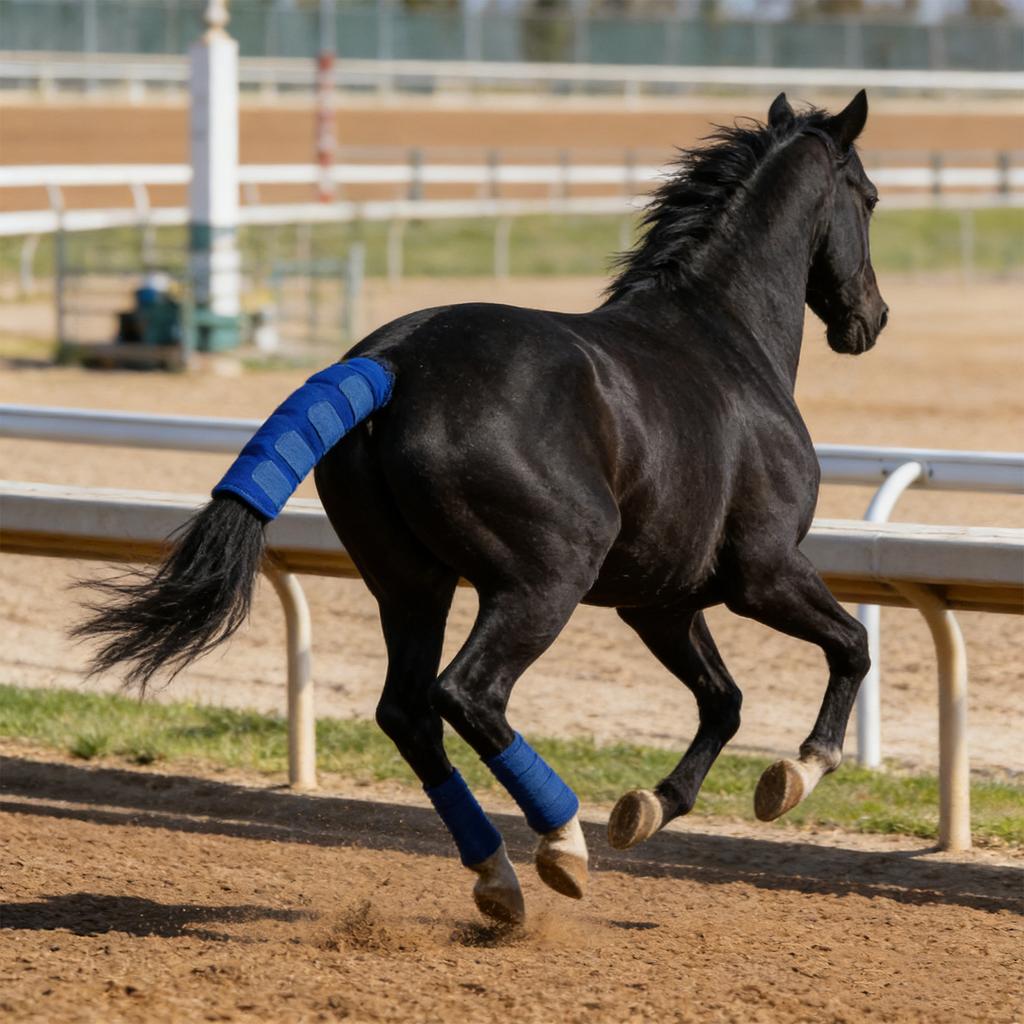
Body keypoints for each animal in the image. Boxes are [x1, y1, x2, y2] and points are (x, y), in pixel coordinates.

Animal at [75, 91, 888, 926]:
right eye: (869, 197)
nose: (872, 318)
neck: (721, 336)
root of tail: (391, 361)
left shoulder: (659, 601)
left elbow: (723, 700)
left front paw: (650, 806)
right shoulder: (763, 572)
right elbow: (851, 646)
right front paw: (796, 772)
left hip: (410, 587)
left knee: (408, 712)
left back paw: (497, 875)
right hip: (541, 583)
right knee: (468, 694)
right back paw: (560, 844)